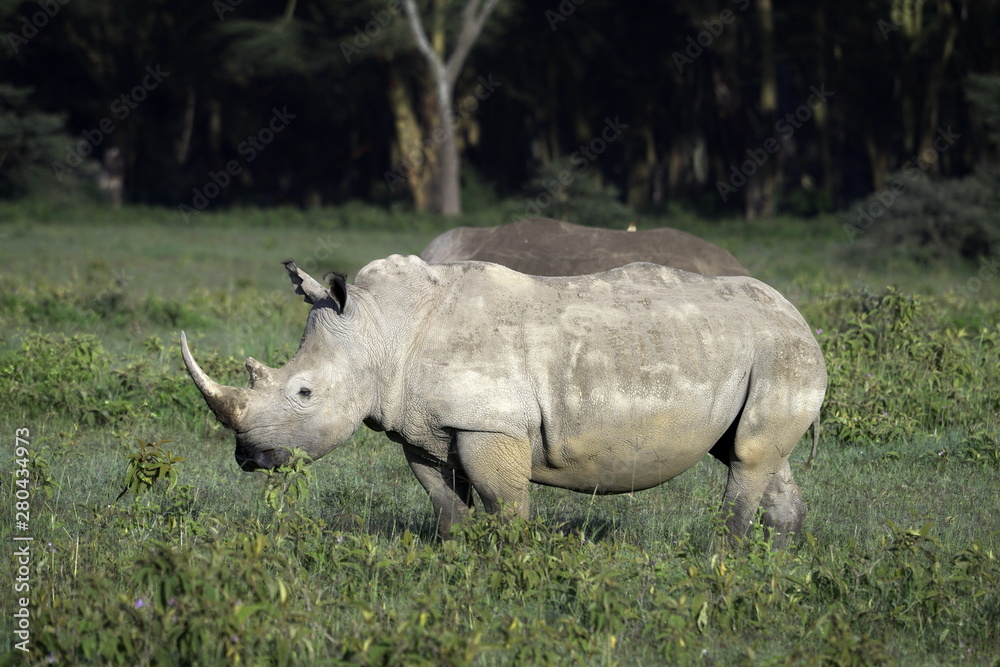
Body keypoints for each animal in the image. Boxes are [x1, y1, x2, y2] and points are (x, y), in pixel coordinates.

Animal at [181, 255, 825, 545]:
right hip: (757, 349)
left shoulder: (488, 424)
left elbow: (503, 502)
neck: (380, 328)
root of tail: (799, 315)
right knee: (756, 454)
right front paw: (453, 554)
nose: (248, 458)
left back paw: (724, 554)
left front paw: (510, 561)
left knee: (747, 458)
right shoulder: (425, 426)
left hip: (779, 348)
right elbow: (444, 498)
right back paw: (778, 559)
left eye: (304, 392)